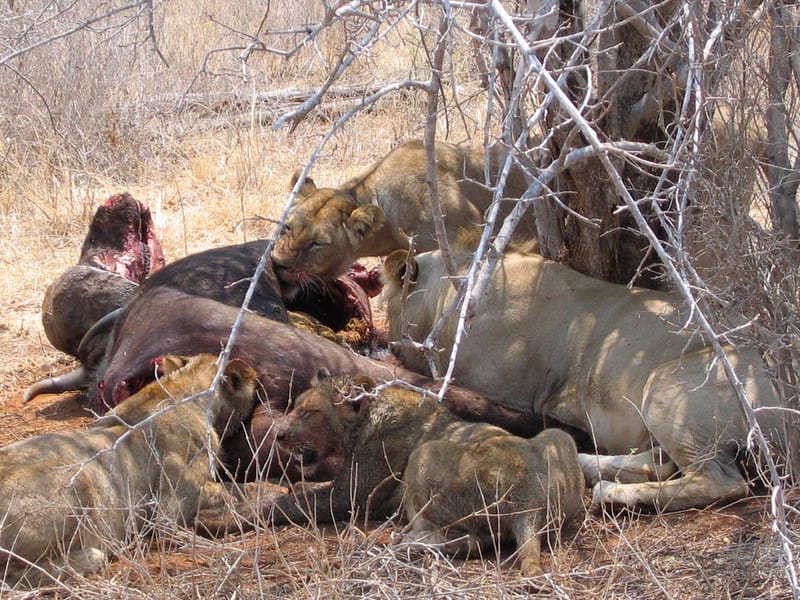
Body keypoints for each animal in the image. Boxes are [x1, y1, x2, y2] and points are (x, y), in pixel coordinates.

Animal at [0, 353, 257, 587]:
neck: (179, 389)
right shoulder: (171, 506)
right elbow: (235, 491)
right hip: (78, 480)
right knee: (15, 575)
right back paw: (93, 555)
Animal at [196, 369, 584, 578]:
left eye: (308, 413)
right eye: (294, 408)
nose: (279, 435)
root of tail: (528, 499)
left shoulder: (351, 494)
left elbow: (286, 504)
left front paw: (225, 516)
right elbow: (292, 489)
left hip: (425, 456)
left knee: (469, 540)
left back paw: (402, 540)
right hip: (558, 438)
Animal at [380, 247, 786, 512]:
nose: (387, 344)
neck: (443, 297)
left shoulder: (499, 387)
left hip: (667, 384)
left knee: (722, 481)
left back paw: (611, 492)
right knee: (659, 461)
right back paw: (587, 465)